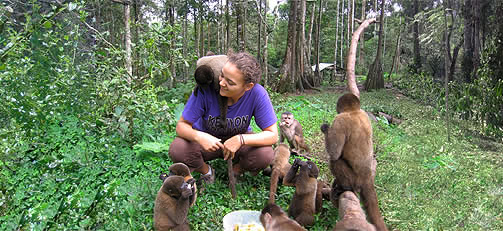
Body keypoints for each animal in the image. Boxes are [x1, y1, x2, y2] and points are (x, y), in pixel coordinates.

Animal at [320, 93, 388, 231]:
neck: (354, 111)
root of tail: (367, 177)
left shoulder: (339, 120)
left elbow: (334, 152)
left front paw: (325, 128)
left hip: (354, 179)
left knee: (335, 161)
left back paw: (345, 187)